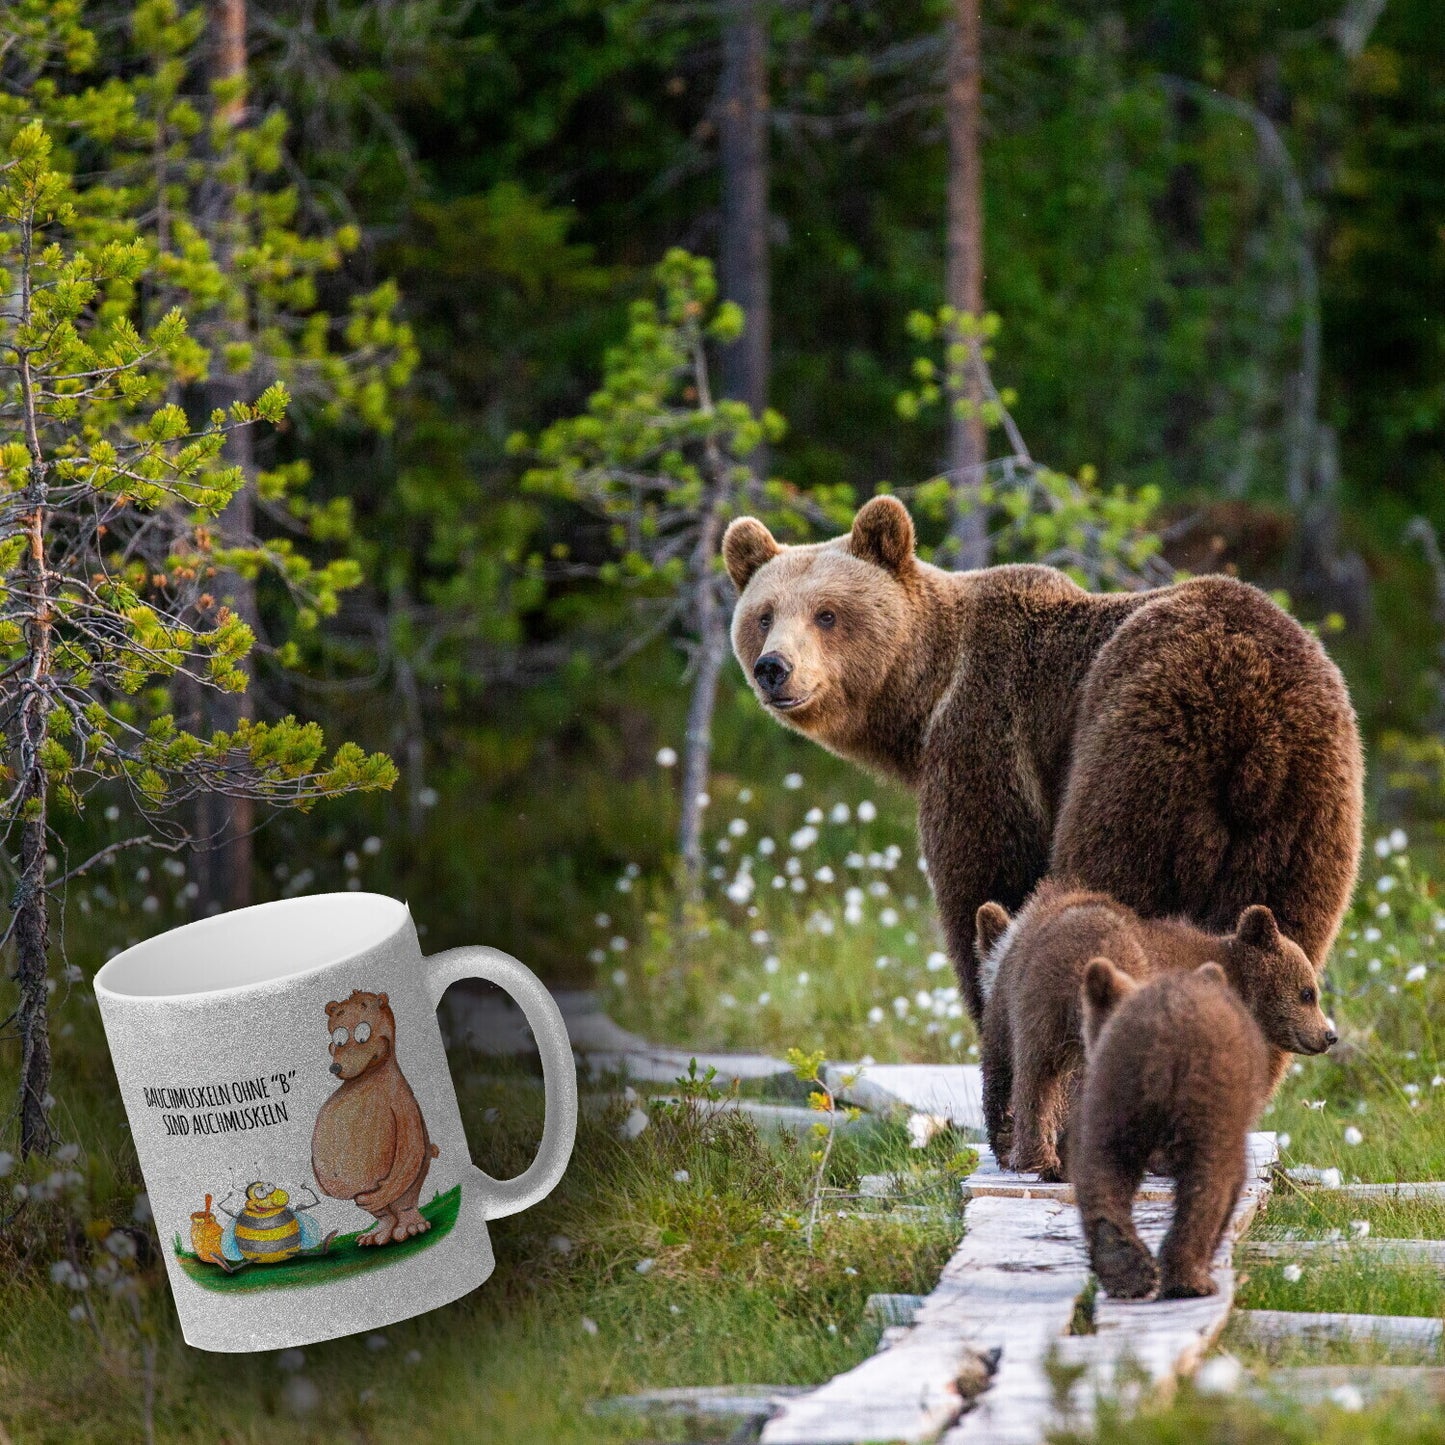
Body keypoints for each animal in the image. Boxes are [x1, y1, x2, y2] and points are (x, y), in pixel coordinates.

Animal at [728, 497, 1358, 1028]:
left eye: (827, 614)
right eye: (764, 614)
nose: (774, 668)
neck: (925, 698)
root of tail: (1257, 726)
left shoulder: (988, 736)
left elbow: (988, 881)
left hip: (1145, 755)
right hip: (1307, 815)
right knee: (1284, 934)